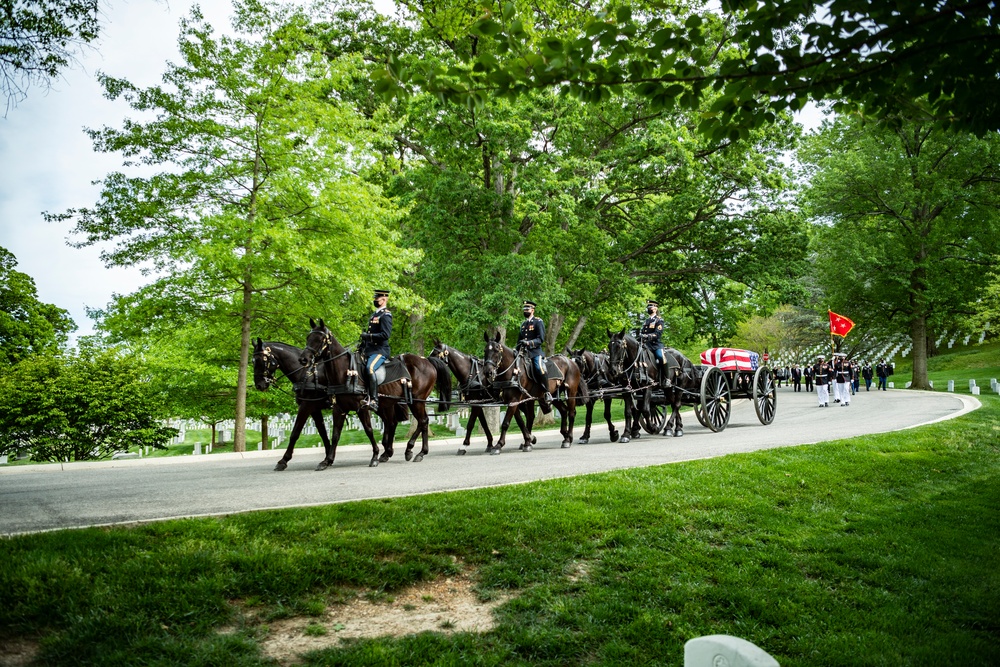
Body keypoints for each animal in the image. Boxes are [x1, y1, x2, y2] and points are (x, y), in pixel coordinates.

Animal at [250, 340, 378, 470]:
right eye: (253, 361)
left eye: (262, 359)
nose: (259, 385)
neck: (305, 373)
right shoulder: (314, 409)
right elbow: (323, 432)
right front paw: (328, 457)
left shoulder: (306, 406)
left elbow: (295, 433)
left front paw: (283, 460)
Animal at [300, 318, 450, 464]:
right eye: (308, 337)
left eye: (320, 339)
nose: (303, 359)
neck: (345, 371)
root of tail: (428, 361)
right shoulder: (338, 408)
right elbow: (336, 434)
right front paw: (327, 460)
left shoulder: (362, 407)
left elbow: (369, 430)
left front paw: (374, 456)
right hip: (400, 402)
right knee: (411, 422)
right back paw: (408, 452)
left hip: (417, 401)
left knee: (422, 421)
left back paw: (414, 450)